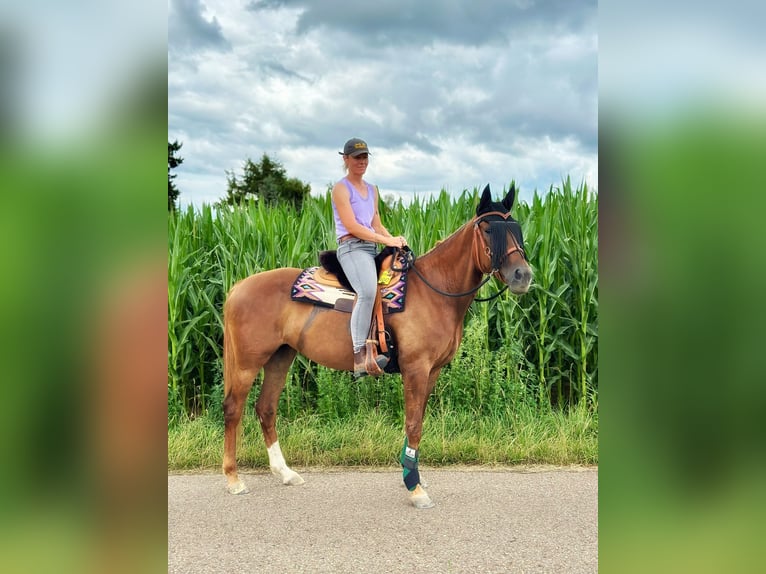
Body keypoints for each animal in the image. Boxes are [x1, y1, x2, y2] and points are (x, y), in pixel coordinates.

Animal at [222, 184, 533, 508]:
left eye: (516, 228)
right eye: (488, 230)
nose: (523, 275)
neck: (434, 291)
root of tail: (238, 287)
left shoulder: (431, 371)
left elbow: (417, 421)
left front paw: (413, 474)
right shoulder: (416, 368)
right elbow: (413, 423)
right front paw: (415, 488)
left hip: (280, 357)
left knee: (266, 408)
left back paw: (285, 473)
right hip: (247, 362)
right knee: (233, 409)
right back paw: (234, 479)